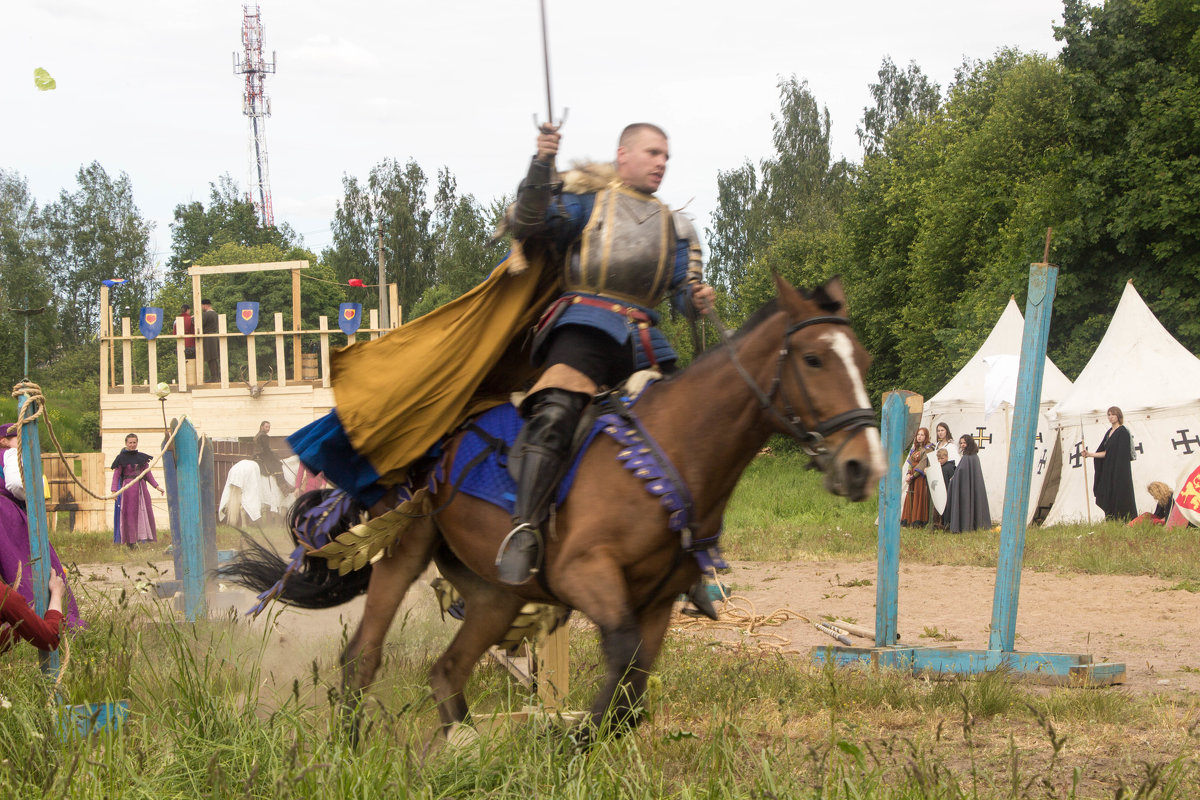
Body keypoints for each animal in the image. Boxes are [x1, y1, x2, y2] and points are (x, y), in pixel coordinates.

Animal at [226, 273, 883, 738]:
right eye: (814, 359)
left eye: (863, 360)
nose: (863, 466)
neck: (667, 457)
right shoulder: (586, 577)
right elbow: (619, 668)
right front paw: (568, 743)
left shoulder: (658, 602)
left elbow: (630, 697)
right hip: (406, 552)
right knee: (361, 658)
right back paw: (351, 744)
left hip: (495, 594)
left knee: (447, 672)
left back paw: (459, 749)